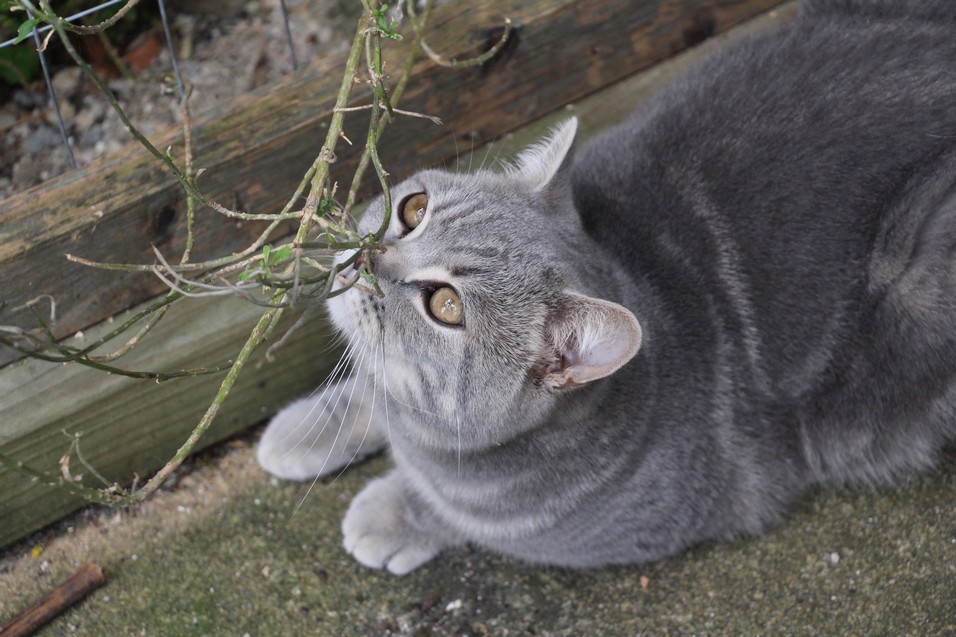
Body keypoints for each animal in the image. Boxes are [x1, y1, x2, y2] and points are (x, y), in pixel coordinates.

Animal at [258, 0, 956, 572]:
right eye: (413, 209)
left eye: (446, 305)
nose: (365, 262)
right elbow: (364, 392)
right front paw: (305, 431)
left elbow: (465, 519)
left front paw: (392, 514)